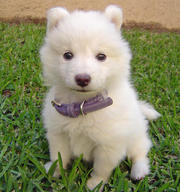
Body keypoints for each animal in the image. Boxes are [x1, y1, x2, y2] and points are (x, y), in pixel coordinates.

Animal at [40, 4, 160, 190]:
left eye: (101, 56)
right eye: (67, 55)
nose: (82, 78)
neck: (83, 105)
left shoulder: (108, 145)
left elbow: (101, 168)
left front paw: (95, 184)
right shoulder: (58, 133)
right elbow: (58, 155)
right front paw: (54, 171)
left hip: (135, 136)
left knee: (140, 152)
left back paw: (139, 171)